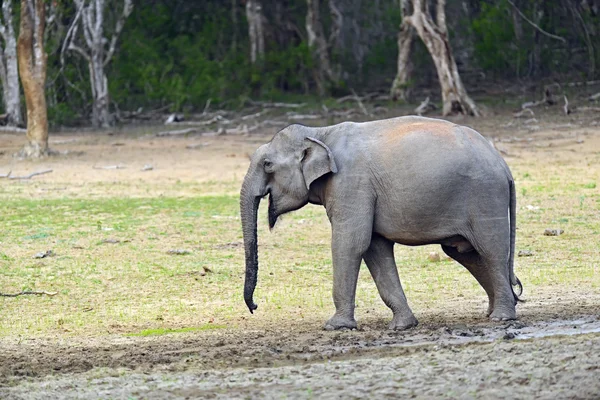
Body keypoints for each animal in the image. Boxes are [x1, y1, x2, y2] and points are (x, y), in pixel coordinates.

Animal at [239, 116, 520, 332]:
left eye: (268, 165)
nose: (254, 307)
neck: (320, 133)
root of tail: (506, 168)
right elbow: (375, 248)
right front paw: (402, 326)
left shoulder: (350, 184)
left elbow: (350, 244)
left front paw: (335, 327)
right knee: (466, 253)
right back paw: (497, 310)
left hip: (485, 197)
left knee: (490, 250)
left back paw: (502, 317)